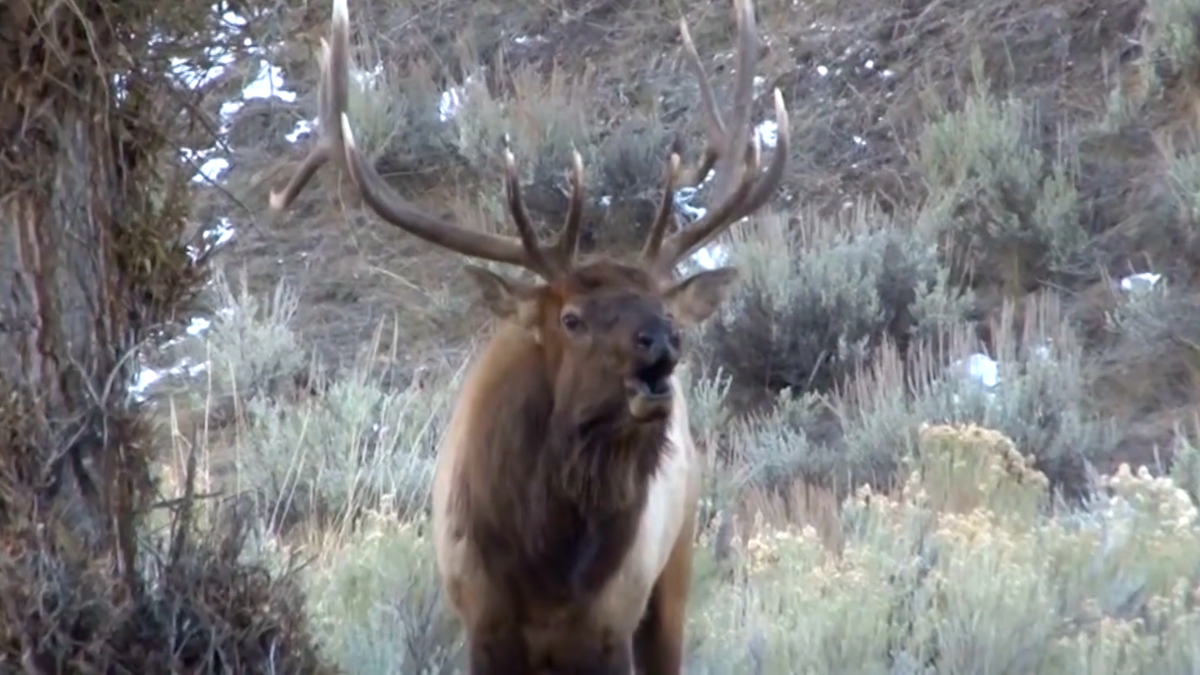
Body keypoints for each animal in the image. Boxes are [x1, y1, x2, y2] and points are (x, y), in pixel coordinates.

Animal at [268, 0, 788, 671]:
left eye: (668, 314)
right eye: (571, 319)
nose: (662, 343)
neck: (546, 573)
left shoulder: (612, 621)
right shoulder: (481, 619)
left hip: (675, 565)